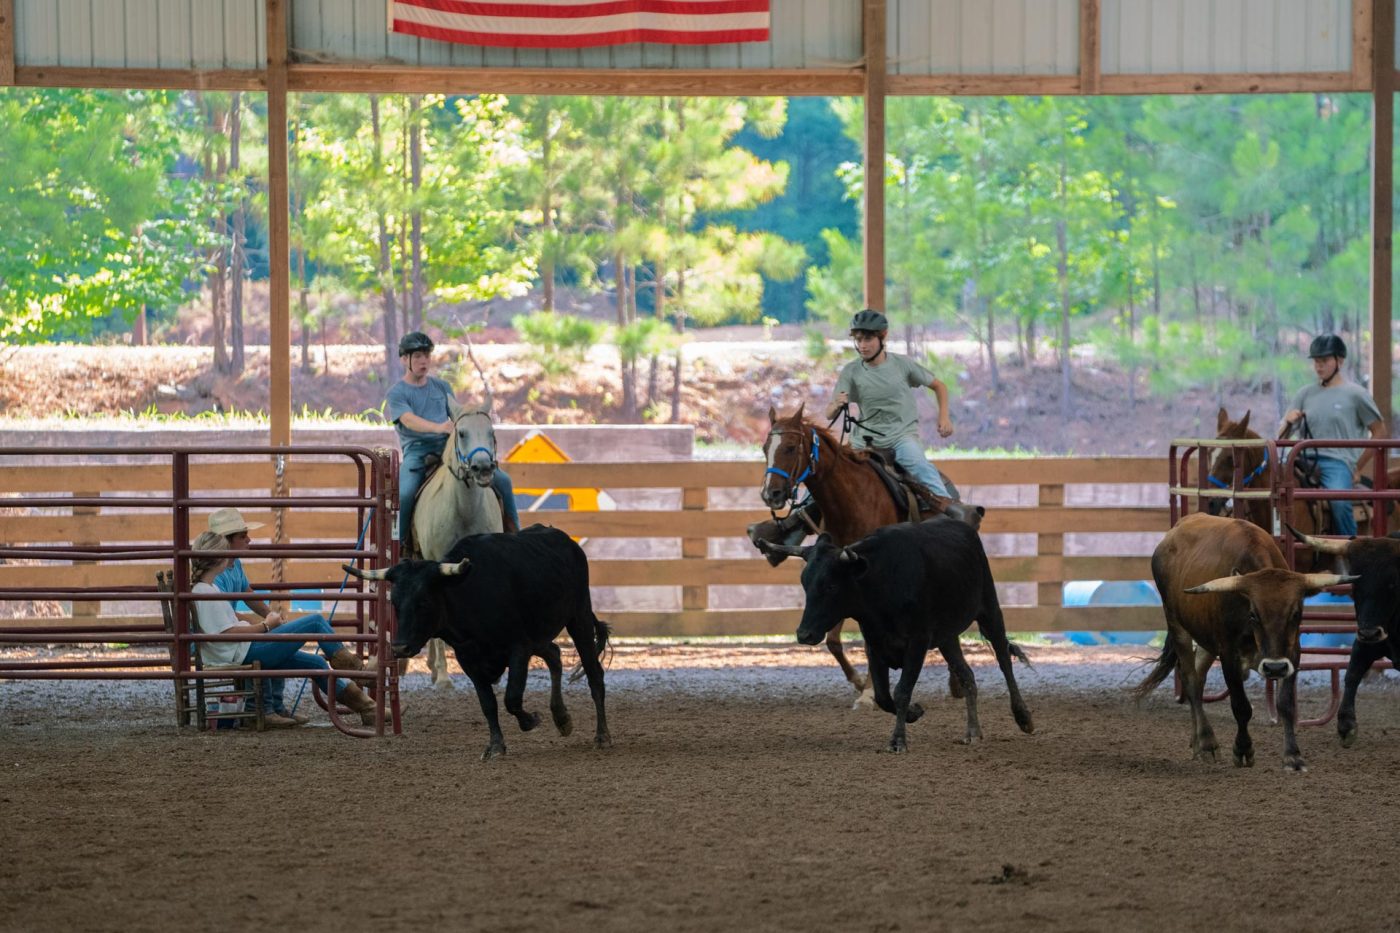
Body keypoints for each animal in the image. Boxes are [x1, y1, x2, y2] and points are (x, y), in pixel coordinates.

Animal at [344, 525, 610, 761]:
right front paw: (496, 746)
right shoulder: (468, 658)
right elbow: (488, 703)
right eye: (395, 603)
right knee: (554, 655)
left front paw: (530, 720)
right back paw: (562, 718)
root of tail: (568, 542)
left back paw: (602, 736)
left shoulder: (519, 647)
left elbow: (512, 697)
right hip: (540, 636)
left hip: (579, 618)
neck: (469, 592)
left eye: (424, 602)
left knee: (594, 675)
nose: (399, 647)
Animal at [753, 403, 986, 703]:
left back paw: (955, 682)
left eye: (791, 447)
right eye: (764, 448)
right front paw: (859, 682)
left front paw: (869, 693)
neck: (850, 502)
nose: (771, 494)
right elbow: (834, 641)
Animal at [760, 519, 1034, 753]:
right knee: (967, 676)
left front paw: (898, 740)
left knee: (1003, 659)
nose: (804, 634)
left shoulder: (917, 642)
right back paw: (973, 732)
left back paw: (1023, 717)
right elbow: (883, 696)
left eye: (831, 586)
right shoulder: (874, 645)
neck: (881, 583)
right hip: (947, 638)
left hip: (989, 610)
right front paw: (914, 712)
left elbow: (902, 690)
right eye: (805, 583)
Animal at [1134, 512, 1355, 772]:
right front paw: (1242, 749)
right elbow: (1241, 706)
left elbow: (1286, 705)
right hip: (1177, 624)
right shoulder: (1228, 654)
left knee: (1198, 679)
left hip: (1207, 641)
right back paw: (1207, 742)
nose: (1274, 668)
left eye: (1296, 613)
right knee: (1189, 678)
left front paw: (1293, 755)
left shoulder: (1292, 654)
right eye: (1253, 614)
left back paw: (1196, 740)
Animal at [1288, 526, 1400, 748]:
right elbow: (1352, 673)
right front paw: (1346, 725)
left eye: (1393, 583)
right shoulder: (1367, 642)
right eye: (1356, 585)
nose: (1370, 632)